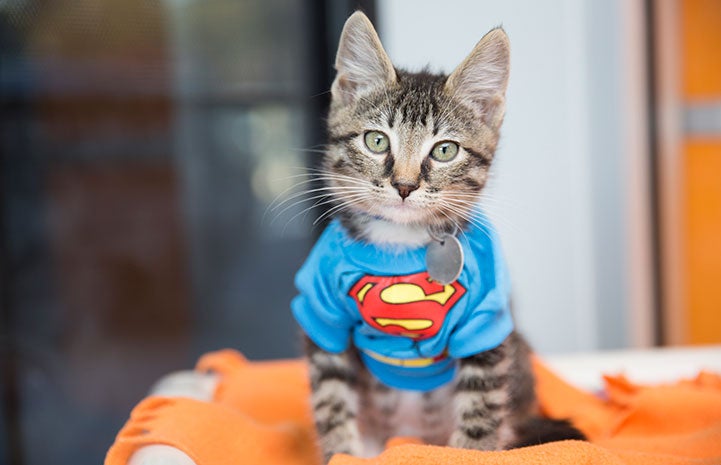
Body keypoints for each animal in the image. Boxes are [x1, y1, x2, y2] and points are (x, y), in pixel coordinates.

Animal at [290, 11, 584, 464]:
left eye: (445, 150)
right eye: (376, 141)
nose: (404, 185)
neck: (398, 243)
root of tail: (408, 436)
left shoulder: (485, 323)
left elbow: (481, 410)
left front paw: (471, 451)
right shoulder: (323, 313)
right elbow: (331, 399)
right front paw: (341, 452)